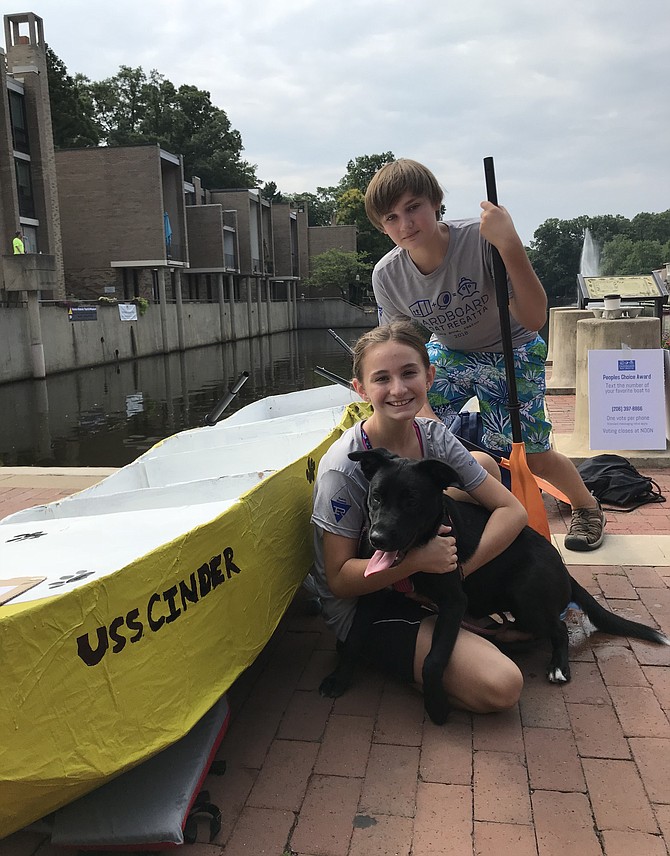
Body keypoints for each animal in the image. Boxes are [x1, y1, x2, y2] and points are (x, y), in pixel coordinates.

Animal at [322, 452, 670, 724]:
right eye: (376, 496)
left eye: (412, 500)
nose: (377, 539)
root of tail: (563, 570)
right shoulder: (371, 593)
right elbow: (354, 639)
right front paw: (339, 678)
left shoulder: (453, 603)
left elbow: (434, 660)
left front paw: (437, 707)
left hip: (525, 593)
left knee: (557, 628)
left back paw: (558, 666)